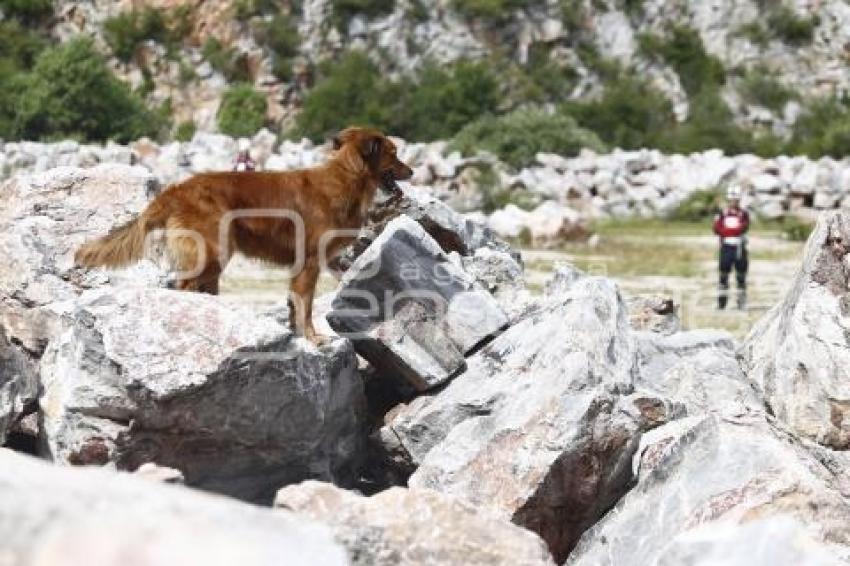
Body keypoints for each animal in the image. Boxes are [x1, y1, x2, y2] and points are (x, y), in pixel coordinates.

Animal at [74, 126, 412, 344]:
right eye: (394, 153)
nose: (411, 172)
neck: (346, 178)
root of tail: (176, 189)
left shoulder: (301, 266)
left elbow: (294, 304)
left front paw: (296, 334)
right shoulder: (310, 262)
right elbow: (305, 305)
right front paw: (313, 338)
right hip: (213, 252)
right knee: (184, 287)